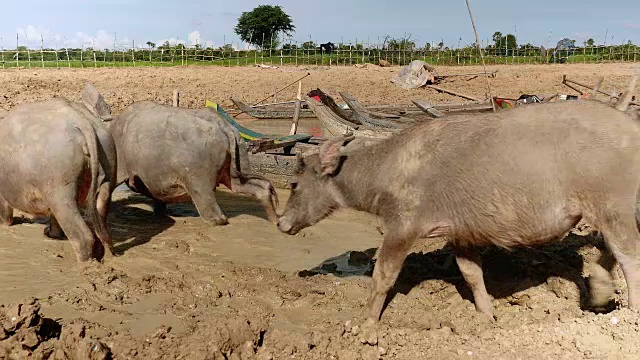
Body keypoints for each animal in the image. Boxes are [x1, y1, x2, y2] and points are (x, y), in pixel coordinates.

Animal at [0, 83, 117, 262]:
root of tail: (82, 121)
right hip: (107, 166)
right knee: (100, 211)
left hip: (59, 186)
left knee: (81, 233)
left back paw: (84, 263)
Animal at [106, 101, 278, 225]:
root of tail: (224, 126)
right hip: (239, 157)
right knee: (251, 185)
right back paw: (275, 220)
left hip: (198, 176)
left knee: (214, 212)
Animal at [278, 95, 640, 324]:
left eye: (294, 184)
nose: (280, 222)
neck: (387, 169)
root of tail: (628, 126)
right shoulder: (462, 232)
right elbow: (471, 273)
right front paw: (486, 315)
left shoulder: (401, 227)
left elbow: (383, 275)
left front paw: (367, 323)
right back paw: (601, 291)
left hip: (613, 206)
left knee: (628, 255)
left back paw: (631, 312)